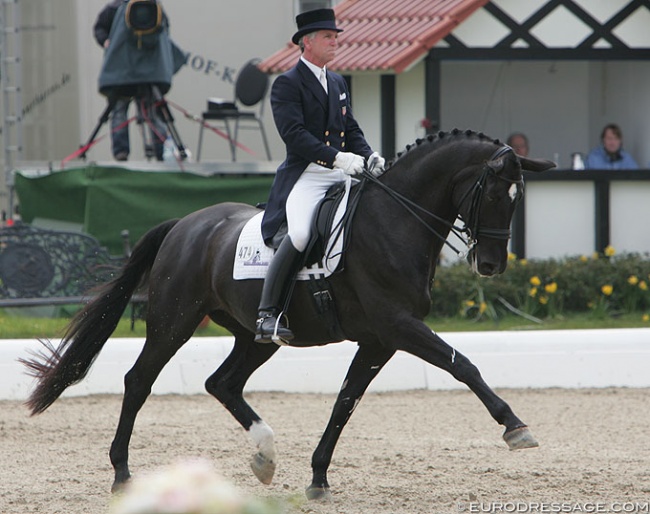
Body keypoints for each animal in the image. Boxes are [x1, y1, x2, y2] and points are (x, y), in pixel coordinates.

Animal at [24, 129, 552, 500]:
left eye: (518, 198)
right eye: (492, 194)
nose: (491, 265)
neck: (395, 221)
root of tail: (185, 224)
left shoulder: (378, 340)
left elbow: (345, 403)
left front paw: (318, 478)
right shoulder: (399, 326)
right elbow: (462, 365)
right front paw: (515, 426)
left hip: (256, 335)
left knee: (223, 383)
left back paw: (265, 455)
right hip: (173, 323)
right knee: (139, 381)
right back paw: (121, 474)